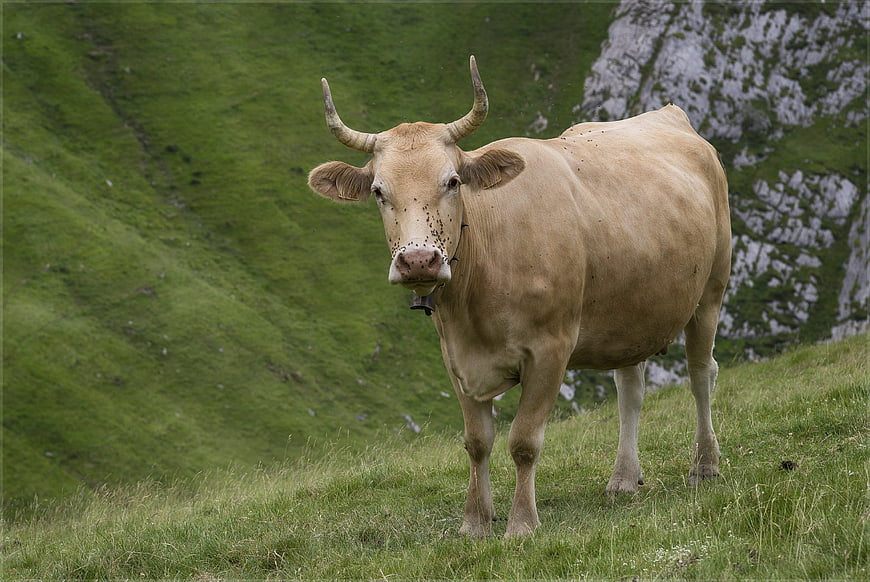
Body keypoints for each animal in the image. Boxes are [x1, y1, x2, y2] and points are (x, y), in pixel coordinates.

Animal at [308, 56, 731, 537]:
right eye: (379, 191)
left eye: (453, 181)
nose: (418, 260)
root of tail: (668, 114)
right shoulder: (455, 358)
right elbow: (477, 442)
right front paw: (475, 522)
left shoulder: (551, 350)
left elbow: (524, 441)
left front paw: (521, 524)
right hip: (631, 313)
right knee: (631, 389)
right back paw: (624, 478)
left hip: (711, 291)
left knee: (701, 374)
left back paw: (705, 465)